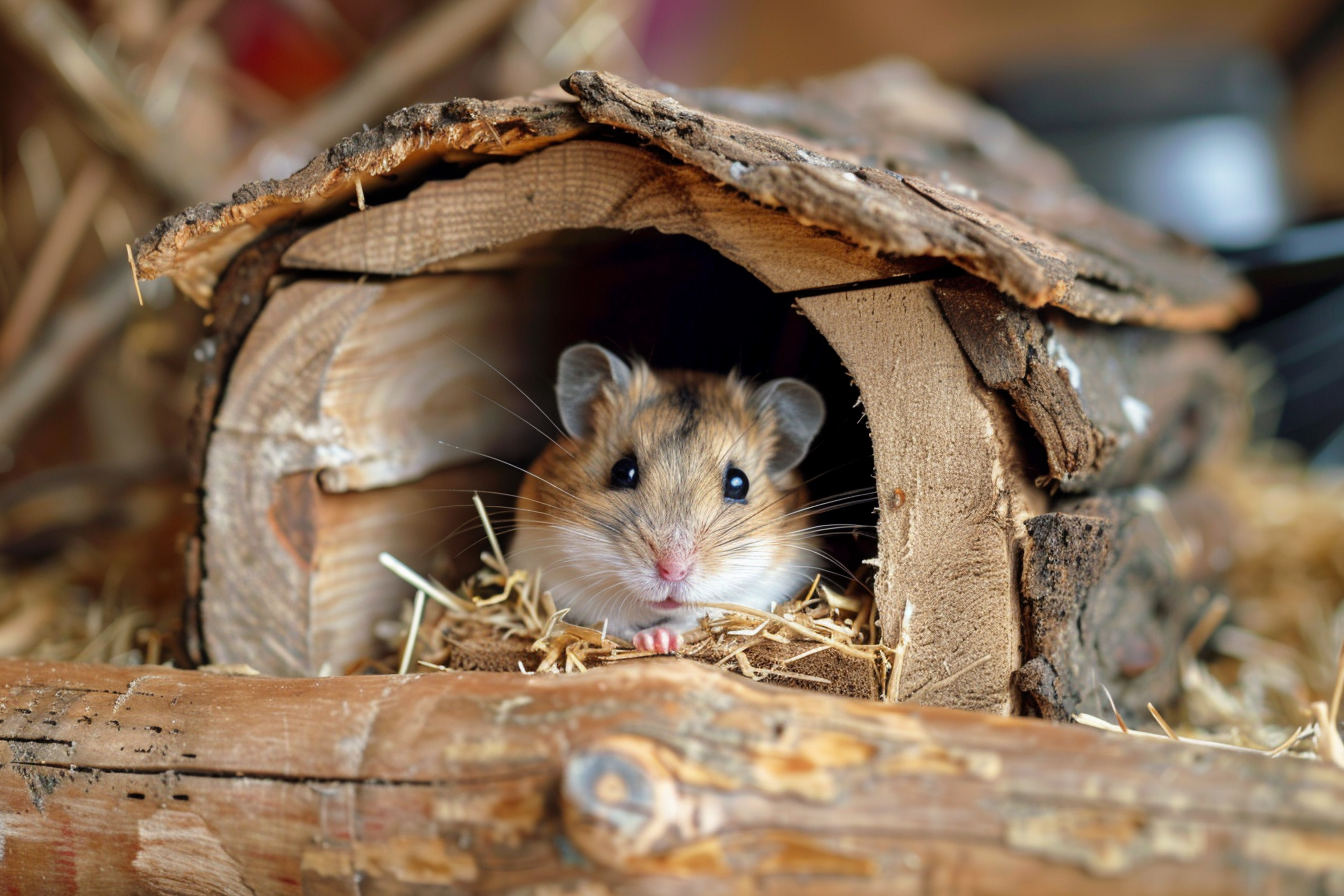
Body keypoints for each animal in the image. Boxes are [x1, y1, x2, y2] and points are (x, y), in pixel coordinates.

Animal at [506, 343, 826, 654]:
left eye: (739, 483)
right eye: (622, 471)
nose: (673, 571)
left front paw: (659, 640)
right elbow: (612, 622)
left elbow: (691, 619)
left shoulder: (758, 592)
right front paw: (647, 642)